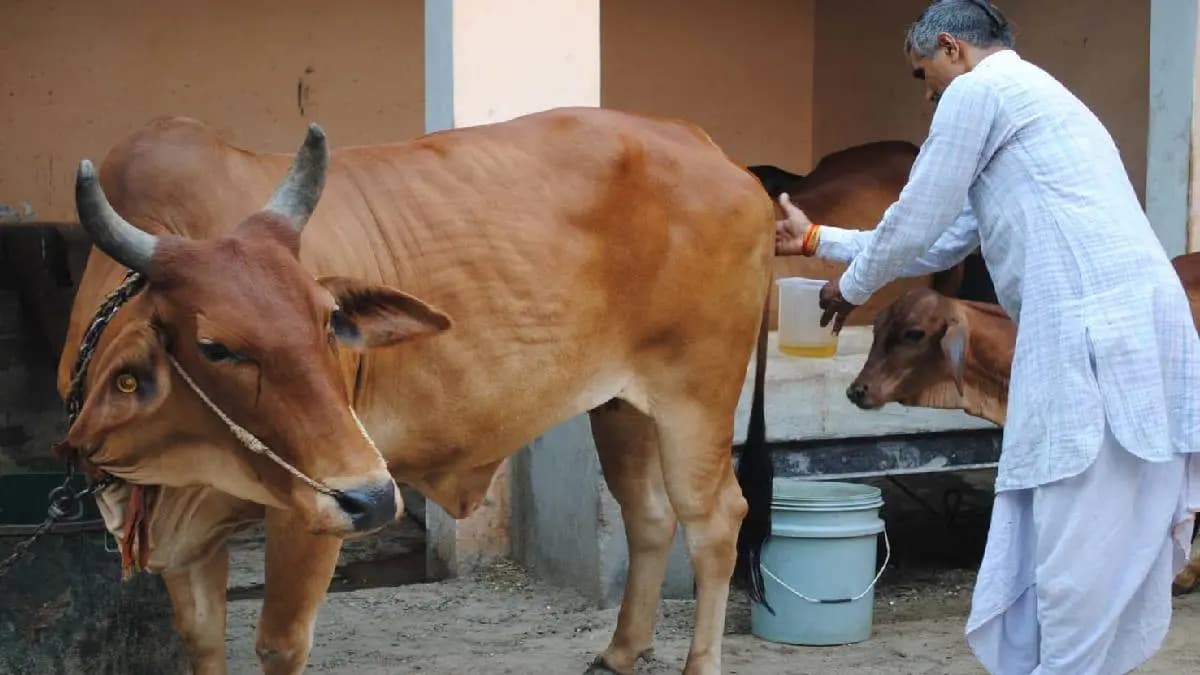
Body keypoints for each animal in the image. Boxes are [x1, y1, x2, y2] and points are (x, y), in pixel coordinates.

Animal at [58, 108, 776, 675]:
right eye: (214, 346)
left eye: (329, 321)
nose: (374, 497)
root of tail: (709, 149)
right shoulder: (185, 530)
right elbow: (202, 642)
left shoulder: (307, 512)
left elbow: (278, 644)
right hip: (621, 404)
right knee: (647, 514)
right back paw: (621, 651)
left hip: (697, 394)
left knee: (715, 520)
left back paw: (698, 662)